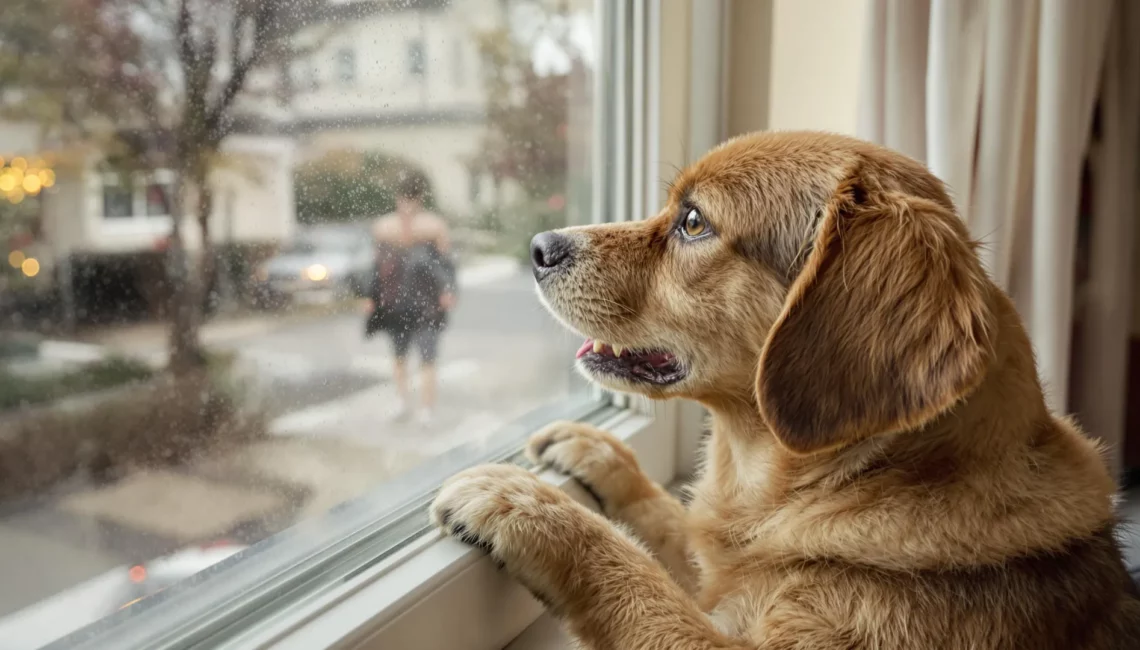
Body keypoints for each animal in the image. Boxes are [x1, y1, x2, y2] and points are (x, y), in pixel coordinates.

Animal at [428, 132, 1140, 647]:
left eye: (693, 221)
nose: (539, 246)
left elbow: (633, 574)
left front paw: (529, 505)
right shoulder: (720, 565)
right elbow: (671, 523)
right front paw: (598, 454)